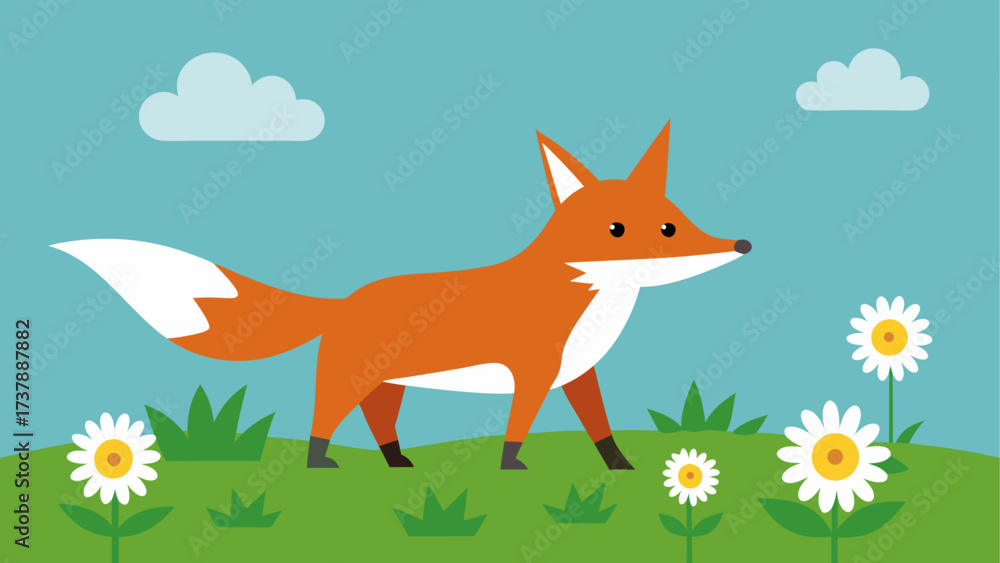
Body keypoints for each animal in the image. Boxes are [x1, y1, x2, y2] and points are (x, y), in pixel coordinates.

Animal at [53, 121, 750, 471]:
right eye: (622, 230)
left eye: (675, 222)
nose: (741, 244)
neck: (594, 303)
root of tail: (344, 300)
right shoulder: (532, 371)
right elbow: (517, 430)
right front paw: (512, 470)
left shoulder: (579, 373)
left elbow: (601, 430)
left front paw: (620, 469)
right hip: (346, 378)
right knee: (323, 420)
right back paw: (320, 465)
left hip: (389, 383)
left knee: (381, 423)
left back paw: (397, 464)